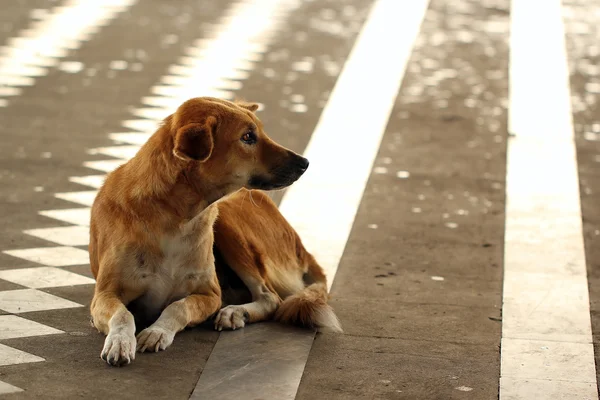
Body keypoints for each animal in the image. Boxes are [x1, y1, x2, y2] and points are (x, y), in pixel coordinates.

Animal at [90, 96, 342, 366]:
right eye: (247, 137)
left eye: (260, 131)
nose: (305, 164)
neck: (175, 217)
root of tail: (300, 245)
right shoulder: (104, 294)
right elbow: (123, 315)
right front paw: (120, 341)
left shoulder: (210, 294)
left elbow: (178, 307)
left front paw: (157, 331)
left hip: (227, 222)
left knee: (270, 296)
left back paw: (236, 312)